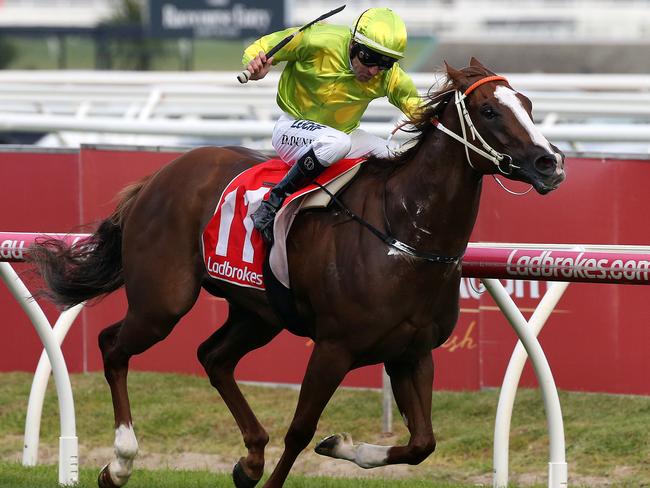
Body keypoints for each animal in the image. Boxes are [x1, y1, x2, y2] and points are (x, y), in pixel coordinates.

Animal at [30, 58, 560, 488]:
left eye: (528, 104)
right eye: (489, 112)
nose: (549, 162)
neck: (403, 233)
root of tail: (159, 176)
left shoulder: (411, 352)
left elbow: (421, 443)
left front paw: (343, 446)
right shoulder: (334, 347)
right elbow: (301, 429)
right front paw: (314, 449)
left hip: (258, 312)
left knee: (213, 357)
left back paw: (249, 460)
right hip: (163, 300)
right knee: (113, 345)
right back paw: (120, 462)